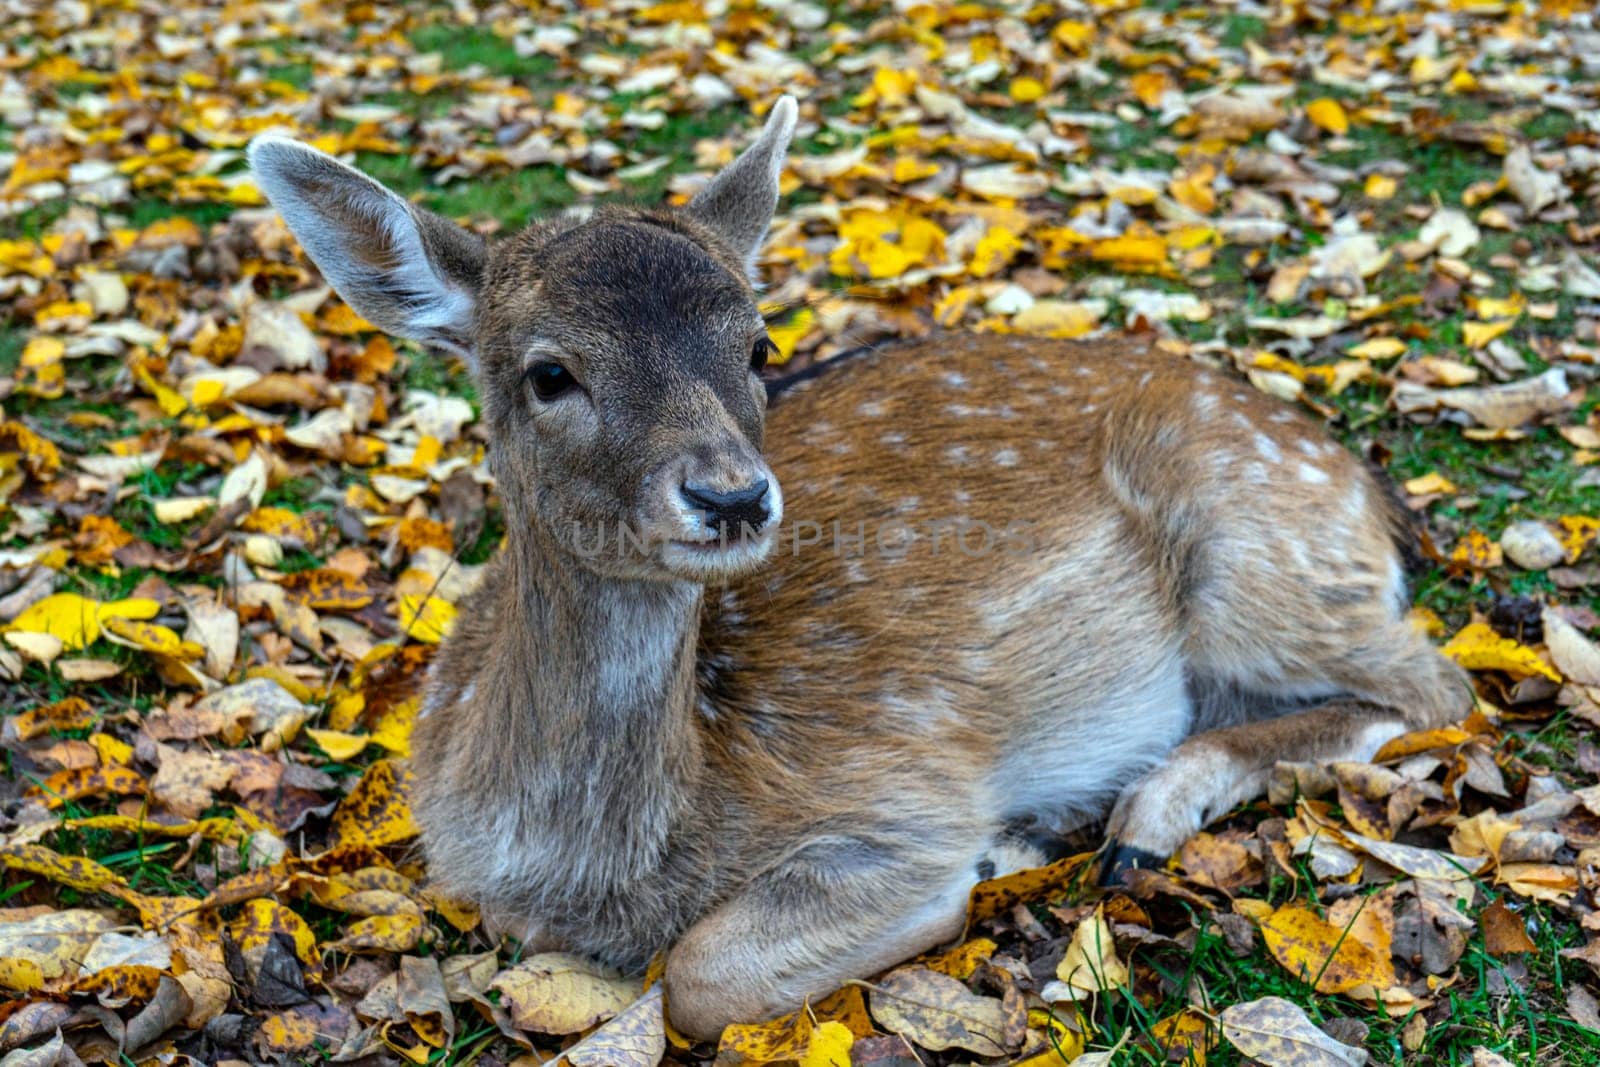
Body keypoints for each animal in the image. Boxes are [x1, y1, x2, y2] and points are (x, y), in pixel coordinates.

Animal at [252, 95, 1472, 1036]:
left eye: (759, 345)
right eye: (548, 372)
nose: (733, 495)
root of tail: (1366, 487)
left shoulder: (902, 787)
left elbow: (700, 972)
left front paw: (992, 854)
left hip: (1261, 554)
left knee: (1439, 687)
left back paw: (1131, 820)